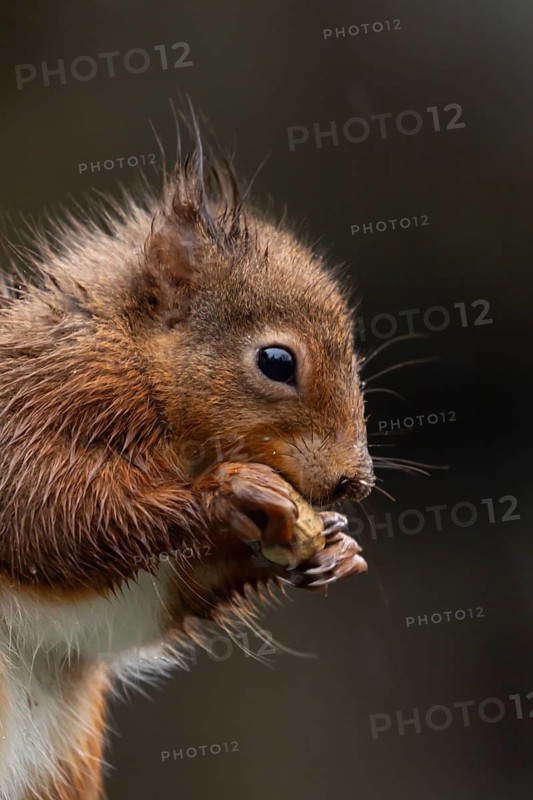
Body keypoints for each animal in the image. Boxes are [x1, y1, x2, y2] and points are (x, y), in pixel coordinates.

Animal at [0, 118, 375, 799]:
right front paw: (227, 495)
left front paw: (333, 548)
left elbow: (112, 612)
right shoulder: (36, 408)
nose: (353, 483)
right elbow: (45, 515)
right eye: (277, 361)